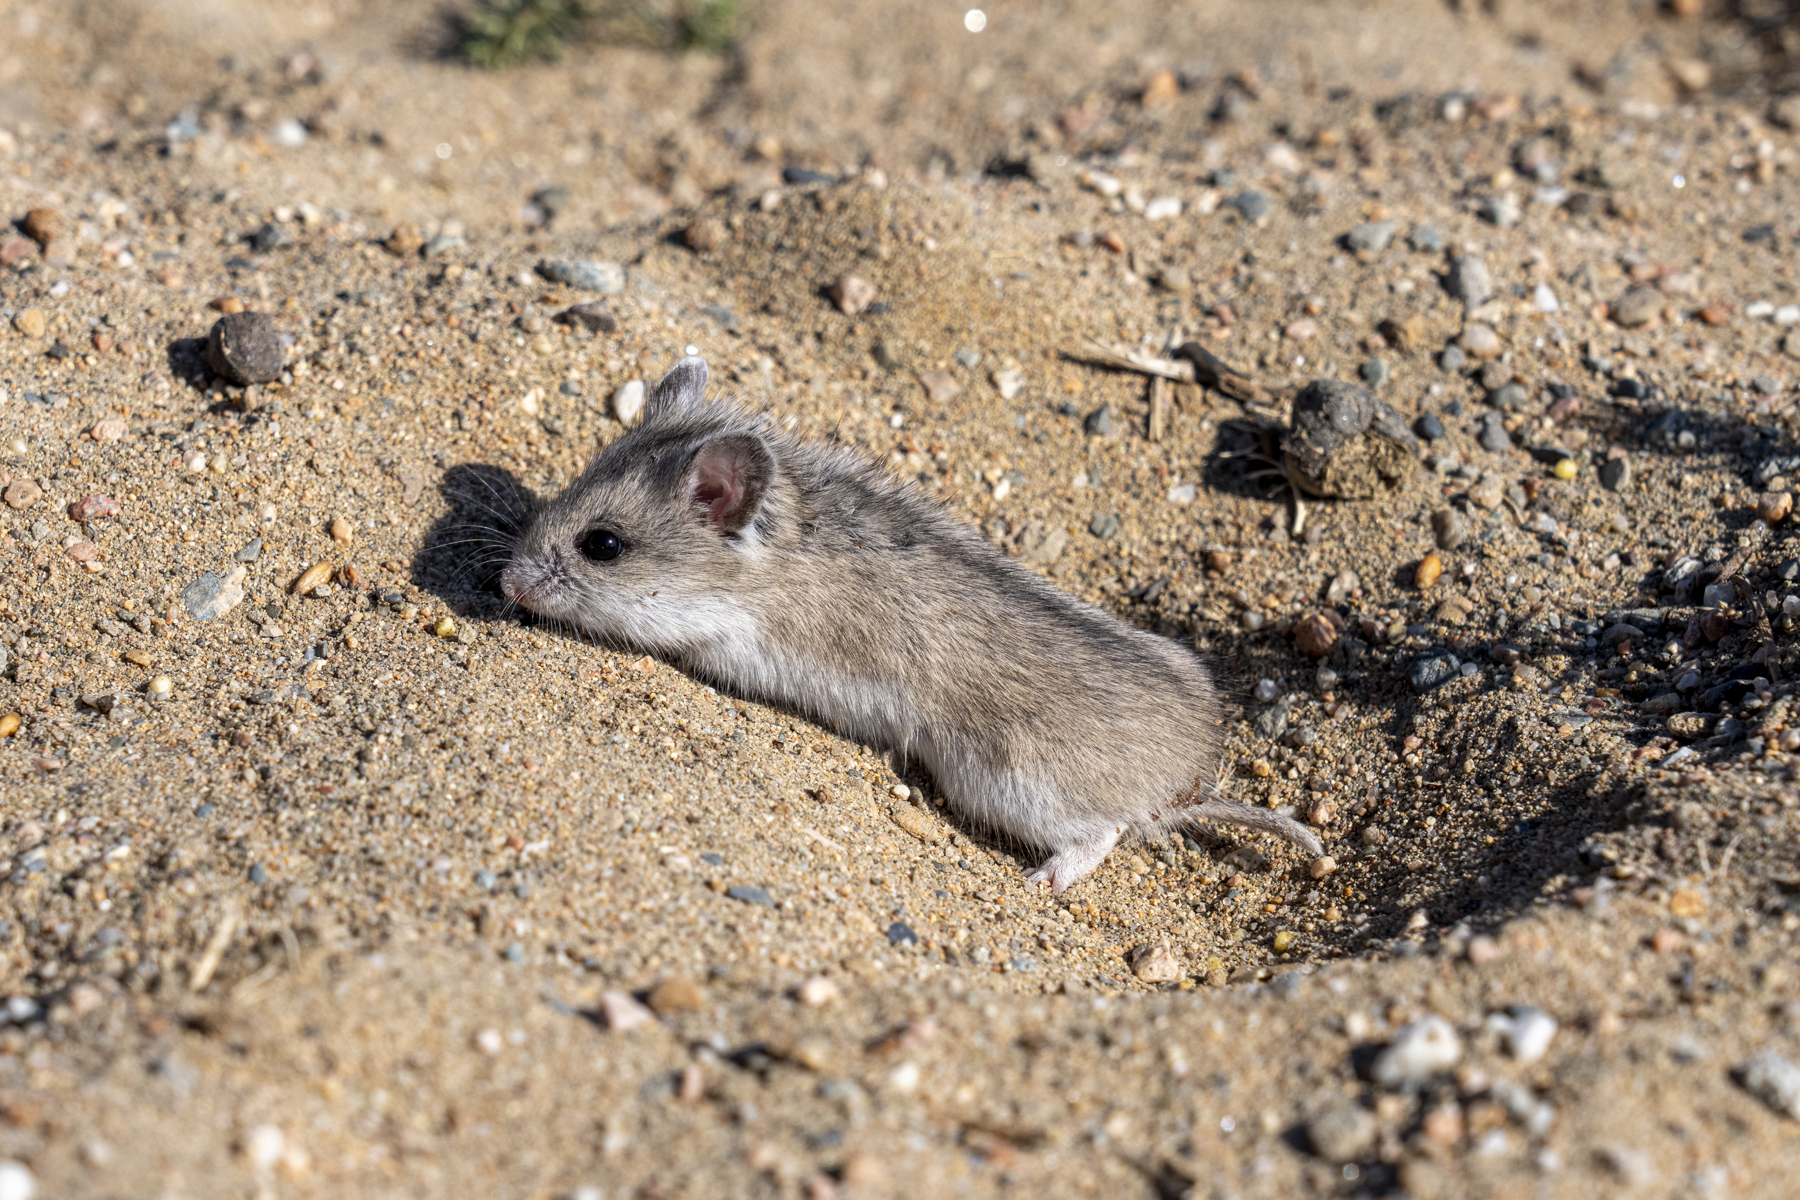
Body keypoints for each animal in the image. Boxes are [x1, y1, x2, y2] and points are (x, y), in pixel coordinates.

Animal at [501, 356, 1322, 891]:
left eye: (602, 545)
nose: (504, 583)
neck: (767, 554)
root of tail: (1185, 787)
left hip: (1010, 781)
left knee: (1104, 832)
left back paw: (1043, 881)